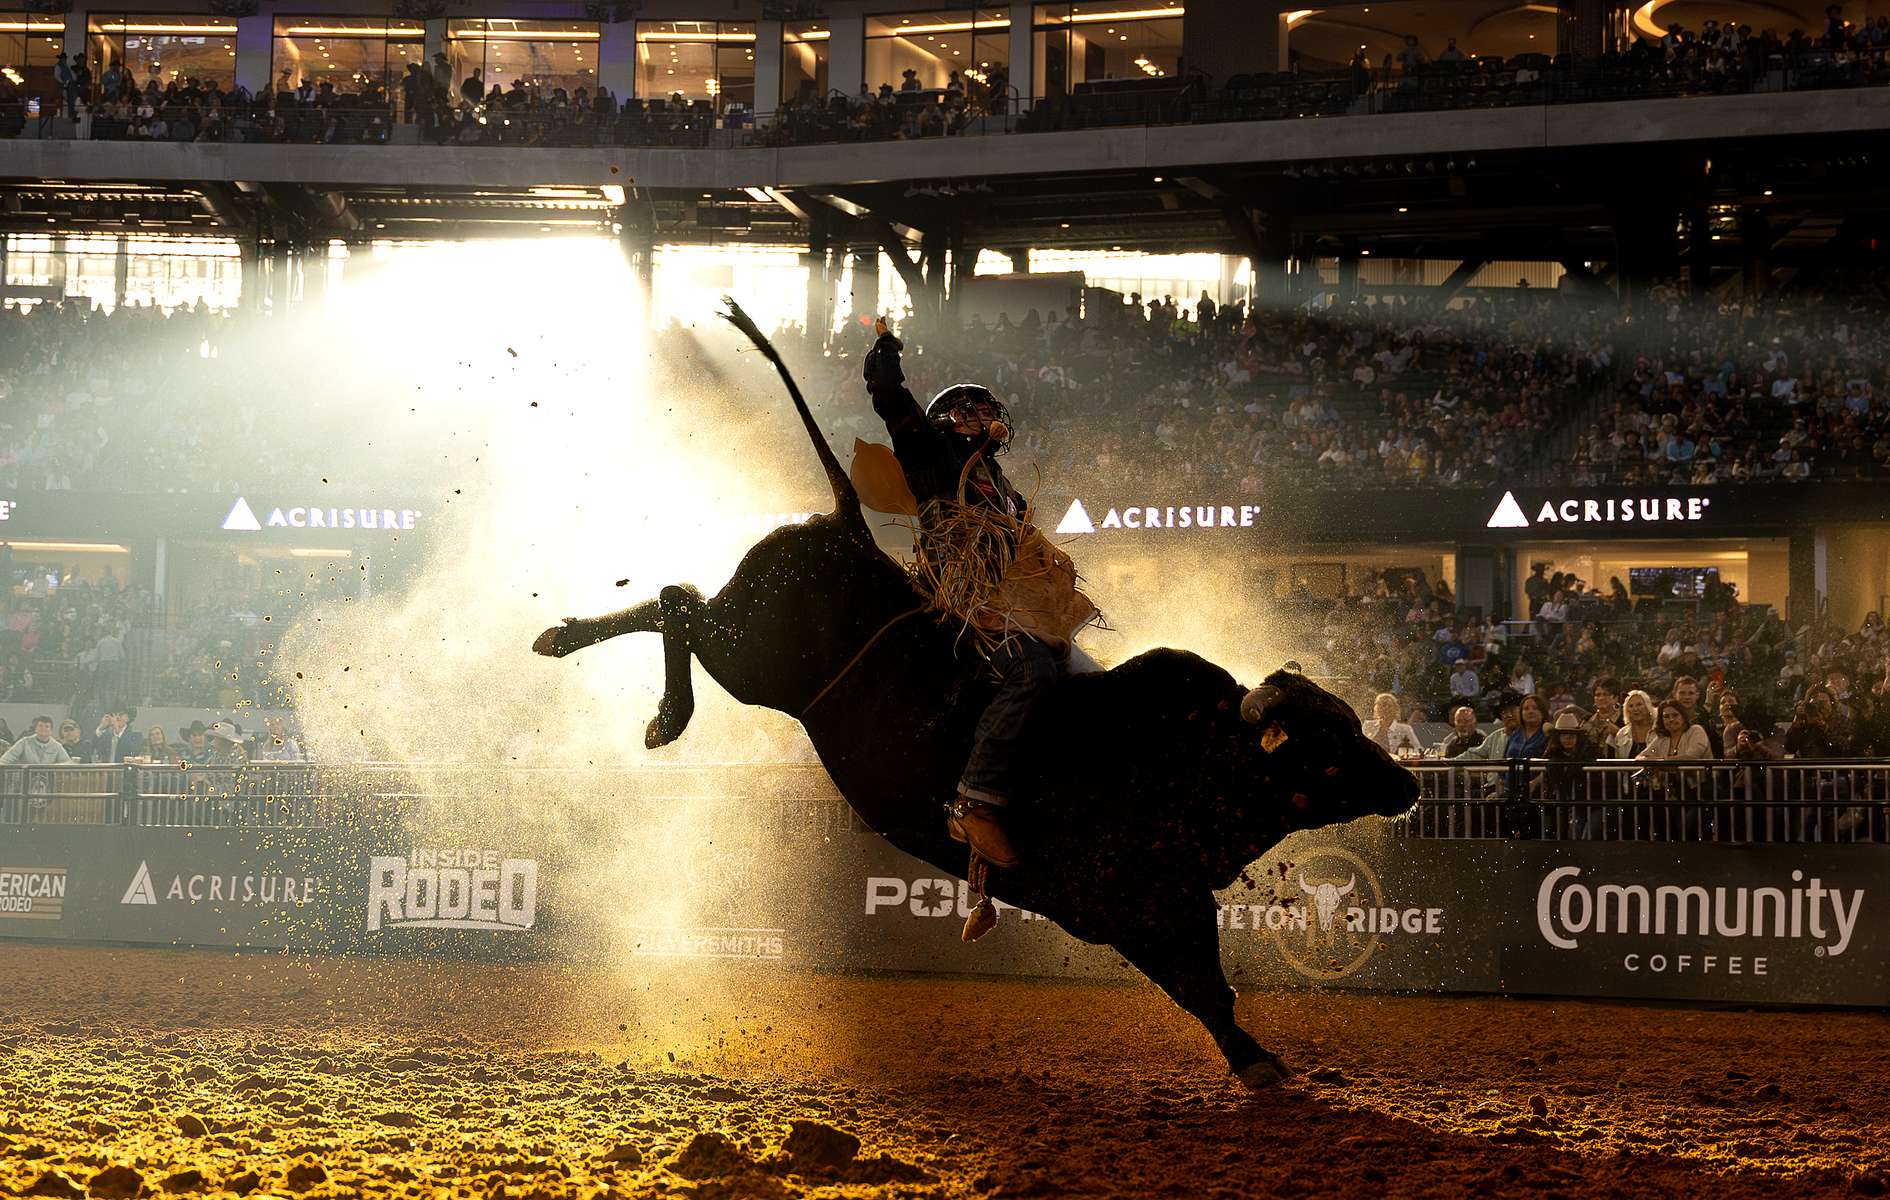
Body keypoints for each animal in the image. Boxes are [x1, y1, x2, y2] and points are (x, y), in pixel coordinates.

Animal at [536, 304, 1421, 1096]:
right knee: (676, 602)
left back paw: (570, 645)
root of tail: (846, 525)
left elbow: (1212, 980)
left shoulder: (1179, 896)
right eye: (1327, 743)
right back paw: (652, 708)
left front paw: (1259, 1058)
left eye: (1351, 722)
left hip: (753, 650)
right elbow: (1199, 986)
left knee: (675, 598)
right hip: (754, 660)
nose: (1409, 781)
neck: (1189, 757)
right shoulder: (1127, 902)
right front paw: (1256, 1063)